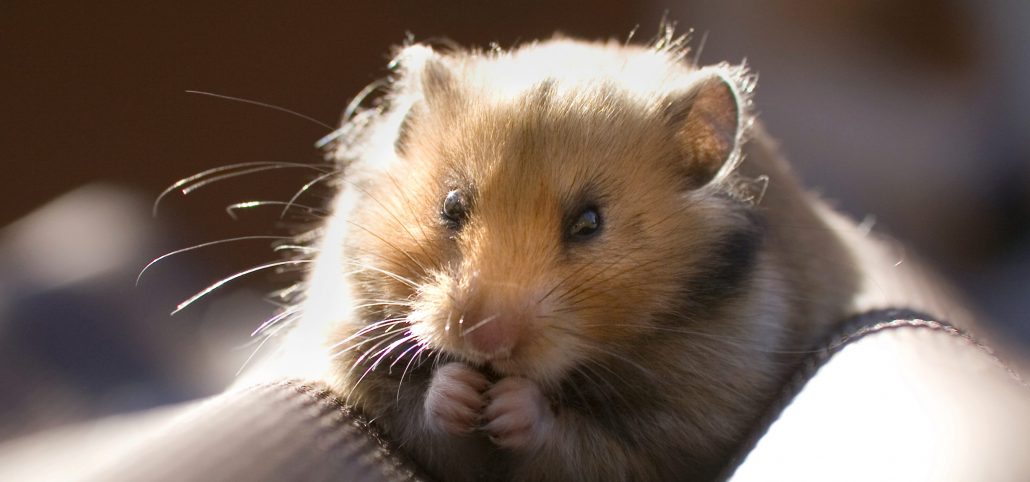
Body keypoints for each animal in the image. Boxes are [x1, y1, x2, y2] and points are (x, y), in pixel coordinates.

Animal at [269, 32, 971, 481]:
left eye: (589, 223)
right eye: (450, 205)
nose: (484, 338)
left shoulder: (692, 421)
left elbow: (581, 445)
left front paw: (507, 405)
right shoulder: (351, 348)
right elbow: (420, 414)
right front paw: (462, 391)